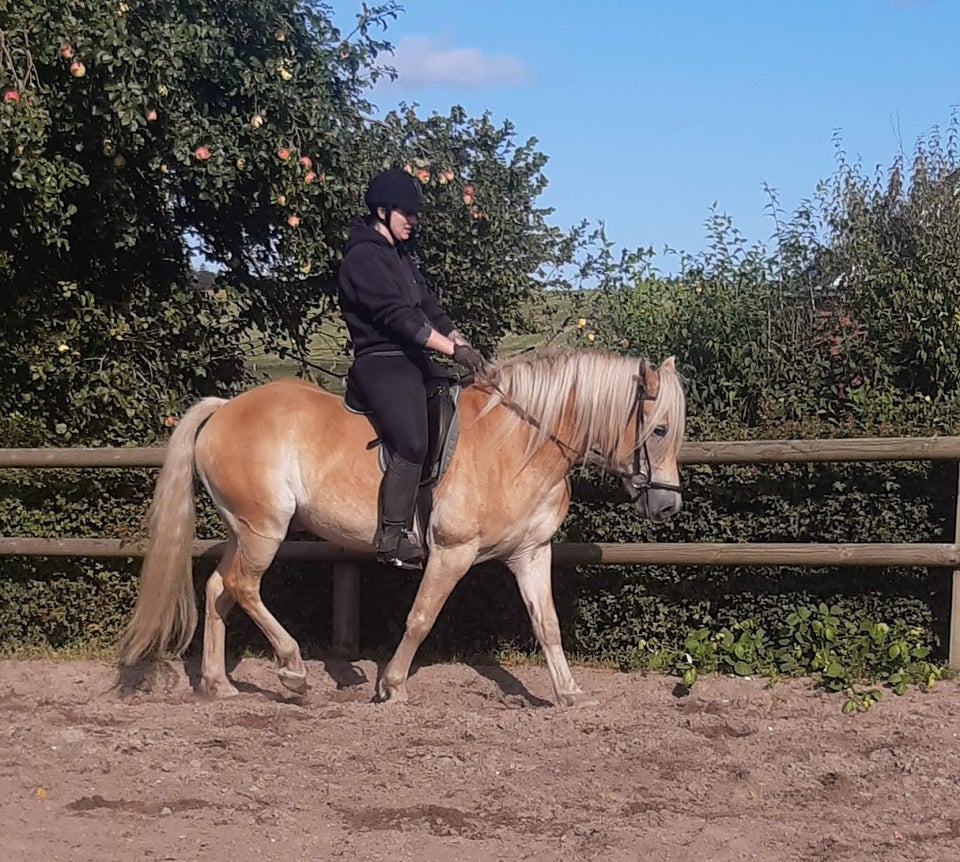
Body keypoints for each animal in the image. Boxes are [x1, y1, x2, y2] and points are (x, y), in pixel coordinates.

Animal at [118, 348, 684, 704]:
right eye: (658, 430)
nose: (667, 507)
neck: (518, 442)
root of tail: (224, 409)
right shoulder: (452, 552)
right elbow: (420, 619)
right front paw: (392, 686)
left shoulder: (531, 553)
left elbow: (547, 624)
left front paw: (569, 694)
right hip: (265, 528)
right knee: (242, 586)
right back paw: (294, 671)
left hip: (244, 529)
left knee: (219, 588)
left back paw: (219, 684)